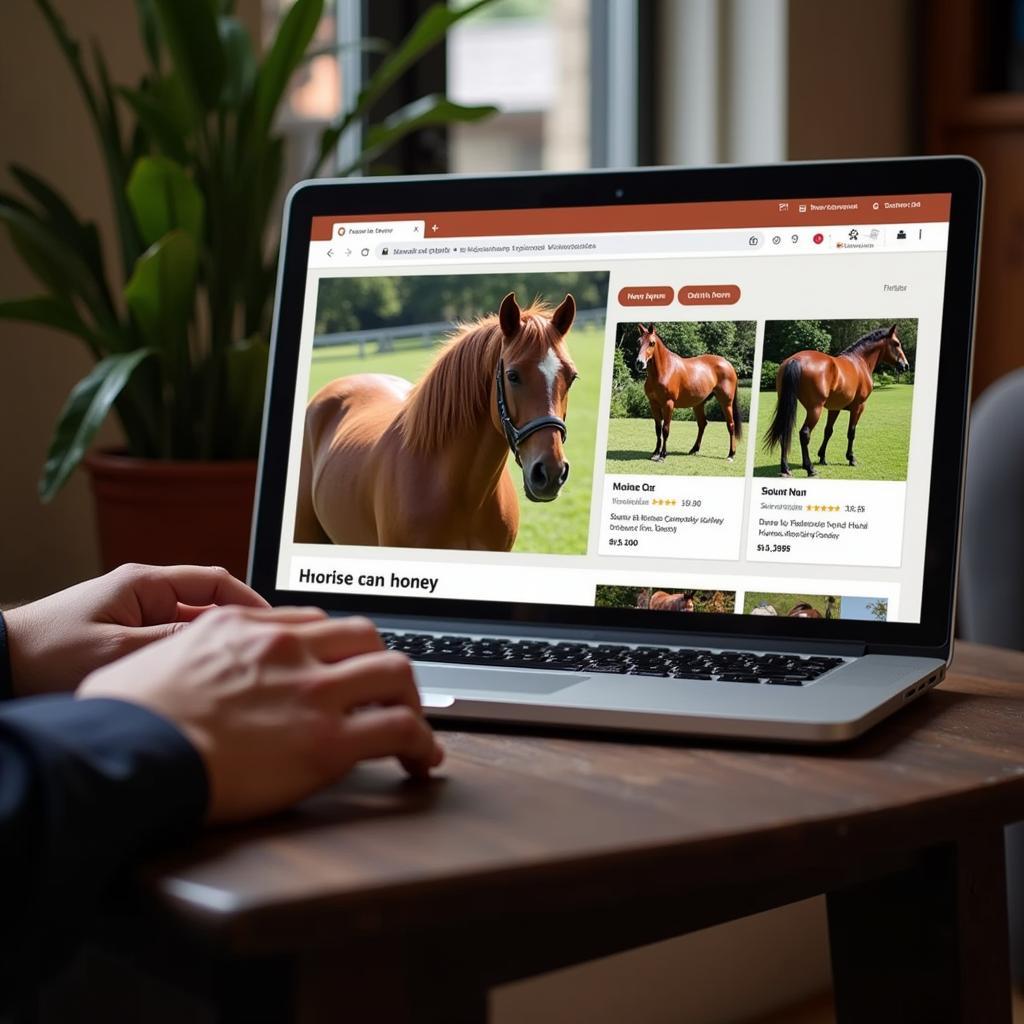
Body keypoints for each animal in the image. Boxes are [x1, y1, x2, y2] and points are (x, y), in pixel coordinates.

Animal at [630, 325, 745, 462]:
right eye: (638, 342)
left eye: (652, 343)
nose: (639, 363)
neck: (664, 370)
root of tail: (728, 365)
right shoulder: (654, 404)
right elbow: (658, 429)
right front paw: (655, 453)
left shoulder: (668, 404)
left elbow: (665, 429)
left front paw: (663, 455)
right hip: (698, 404)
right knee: (702, 424)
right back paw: (694, 449)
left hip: (726, 402)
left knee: (730, 425)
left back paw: (731, 454)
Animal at [761, 323, 913, 475]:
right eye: (896, 343)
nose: (905, 365)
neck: (859, 362)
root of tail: (795, 360)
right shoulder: (858, 407)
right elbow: (851, 432)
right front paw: (851, 458)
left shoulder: (834, 409)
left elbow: (828, 431)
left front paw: (822, 457)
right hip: (815, 409)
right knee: (804, 434)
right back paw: (810, 468)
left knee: (784, 432)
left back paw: (785, 468)